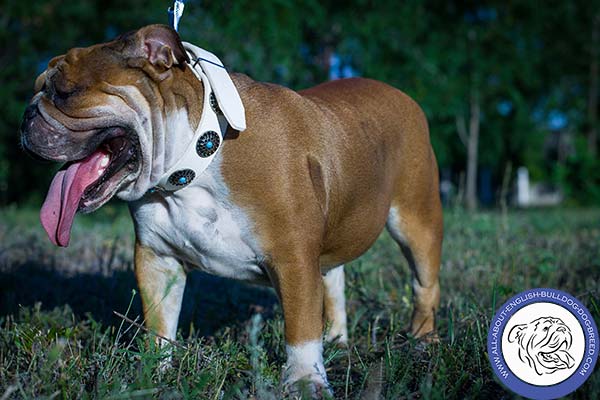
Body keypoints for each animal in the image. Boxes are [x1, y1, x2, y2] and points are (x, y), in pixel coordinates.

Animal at [19, 25, 440, 396]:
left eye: (64, 92)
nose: (26, 116)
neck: (197, 158)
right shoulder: (157, 258)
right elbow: (159, 322)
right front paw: (152, 372)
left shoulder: (293, 258)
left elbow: (301, 328)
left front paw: (304, 381)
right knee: (334, 278)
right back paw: (337, 338)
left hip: (416, 220)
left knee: (423, 285)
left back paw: (422, 341)